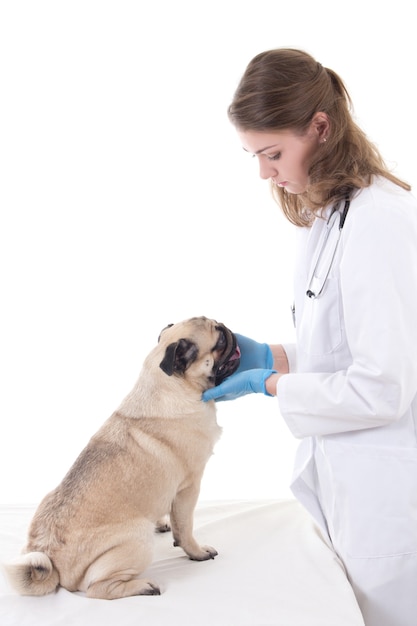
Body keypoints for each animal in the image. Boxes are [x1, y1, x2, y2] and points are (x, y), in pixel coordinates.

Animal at [4, 316, 239, 600]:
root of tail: (51, 558)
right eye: (220, 339)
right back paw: (143, 586)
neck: (168, 386)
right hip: (138, 538)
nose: (228, 329)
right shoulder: (189, 487)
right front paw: (196, 551)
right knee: (98, 589)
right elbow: (185, 528)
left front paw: (162, 522)